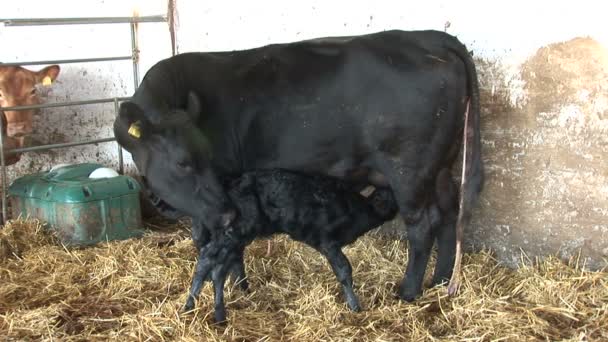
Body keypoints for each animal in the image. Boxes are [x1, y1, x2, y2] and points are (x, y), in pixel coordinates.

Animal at [115, 29, 484, 302]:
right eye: (183, 162)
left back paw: (408, 291)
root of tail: (428, 38)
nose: (226, 213)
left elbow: (225, 241)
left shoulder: (231, 185)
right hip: (441, 166)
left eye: (201, 157)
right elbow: (201, 236)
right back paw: (439, 280)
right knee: (449, 213)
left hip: (409, 169)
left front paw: (239, 286)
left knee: (422, 224)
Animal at [182, 170, 400, 322]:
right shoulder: (327, 241)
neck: (357, 209)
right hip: (235, 232)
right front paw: (355, 306)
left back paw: (214, 308)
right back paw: (195, 306)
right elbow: (344, 270)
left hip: (236, 236)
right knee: (208, 260)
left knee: (218, 266)